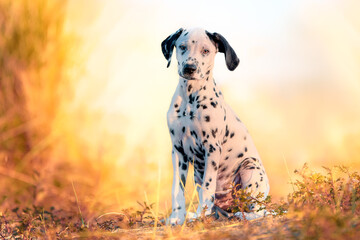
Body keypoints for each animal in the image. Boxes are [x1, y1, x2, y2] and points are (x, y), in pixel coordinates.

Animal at [162, 27, 268, 225]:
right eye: (182, 47)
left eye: (206, 50)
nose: (189, 68)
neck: (191, 99)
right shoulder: (178, 151)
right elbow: (177, 189)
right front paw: (177, 217)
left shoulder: (211, 149)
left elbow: (208, 187)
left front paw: (200, 215)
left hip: (249, 169)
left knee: (261, 210)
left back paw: (243, 215)